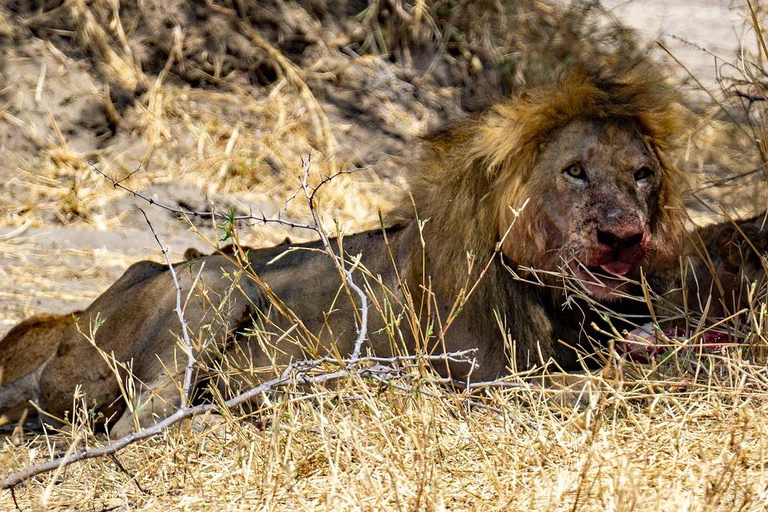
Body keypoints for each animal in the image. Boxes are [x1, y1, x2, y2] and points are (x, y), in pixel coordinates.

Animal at [1, 60, 756, 436]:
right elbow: (616, 383)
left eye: (642, 174)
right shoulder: (482, 385)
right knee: (136, 422)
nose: (624, 236)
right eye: (574, 172)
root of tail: (72, 320)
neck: (556, 303)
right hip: (216, 277)